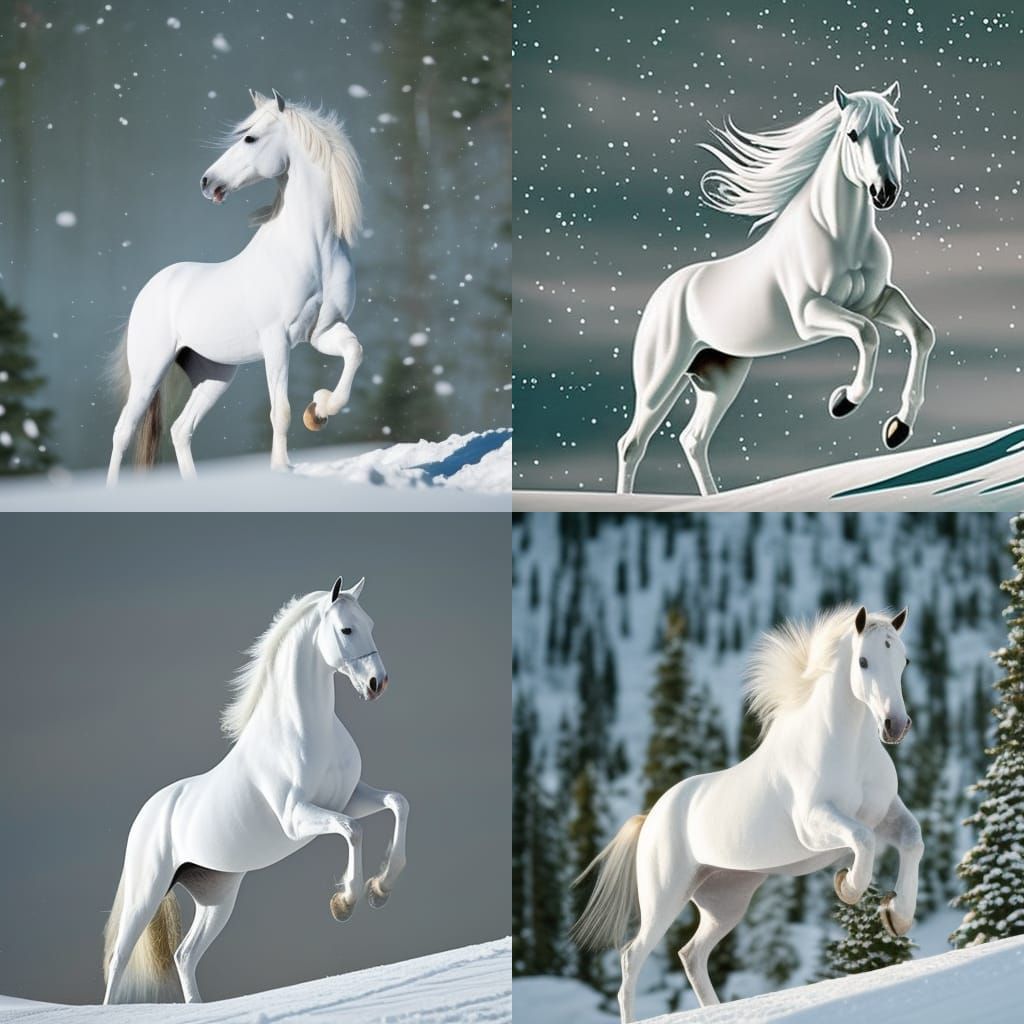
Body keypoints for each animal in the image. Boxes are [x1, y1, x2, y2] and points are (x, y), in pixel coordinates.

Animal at [102, 576, 409, 1004]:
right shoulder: (298, 817)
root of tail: (148, 812)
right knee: (119, 958)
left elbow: (397, 802)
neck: (307, 731)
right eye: (346, 629)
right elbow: (353, 830)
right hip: (147, 891)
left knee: (184, 955)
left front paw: (380, 889)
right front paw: (345, 902)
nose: (377, 684)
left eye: (371, 624)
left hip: (217, 895)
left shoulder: (350, 798)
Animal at [107, 88, 365, 484]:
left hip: (214, 375)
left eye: (250, 138)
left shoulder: (323, 331)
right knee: (123, 432)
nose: (206, 181)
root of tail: (150, 289)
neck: (313, 249)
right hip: (150, 371)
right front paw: (281, 467)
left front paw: (319, 410)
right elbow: (280, 410)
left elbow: (354, 353)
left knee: (181, 429)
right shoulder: (277, 340)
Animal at [573, 605, 923, 1022]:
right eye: (863, 661)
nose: (895, 725)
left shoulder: (884, 814)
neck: (849, 751)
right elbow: (862, 841)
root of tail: (651, 817)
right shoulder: (814, 823)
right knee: (632, 958)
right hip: (665, 898)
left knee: (691, 955)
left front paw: (896, 916)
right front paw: (847, 887)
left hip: (724, 902)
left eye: (903, 660)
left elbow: (912, 840)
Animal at [616, 83, 936, 496]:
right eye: (852, 134)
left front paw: (898, 428)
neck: (838, 236)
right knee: (632, 443)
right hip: (662, 377)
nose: (885, 192)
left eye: (896, 129)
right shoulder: (810, 314)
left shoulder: (877, 302)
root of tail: (661, 294)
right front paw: (843, 401)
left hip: (720, 378)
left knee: (693, 440)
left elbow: (921, 333)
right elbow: (868, 336)